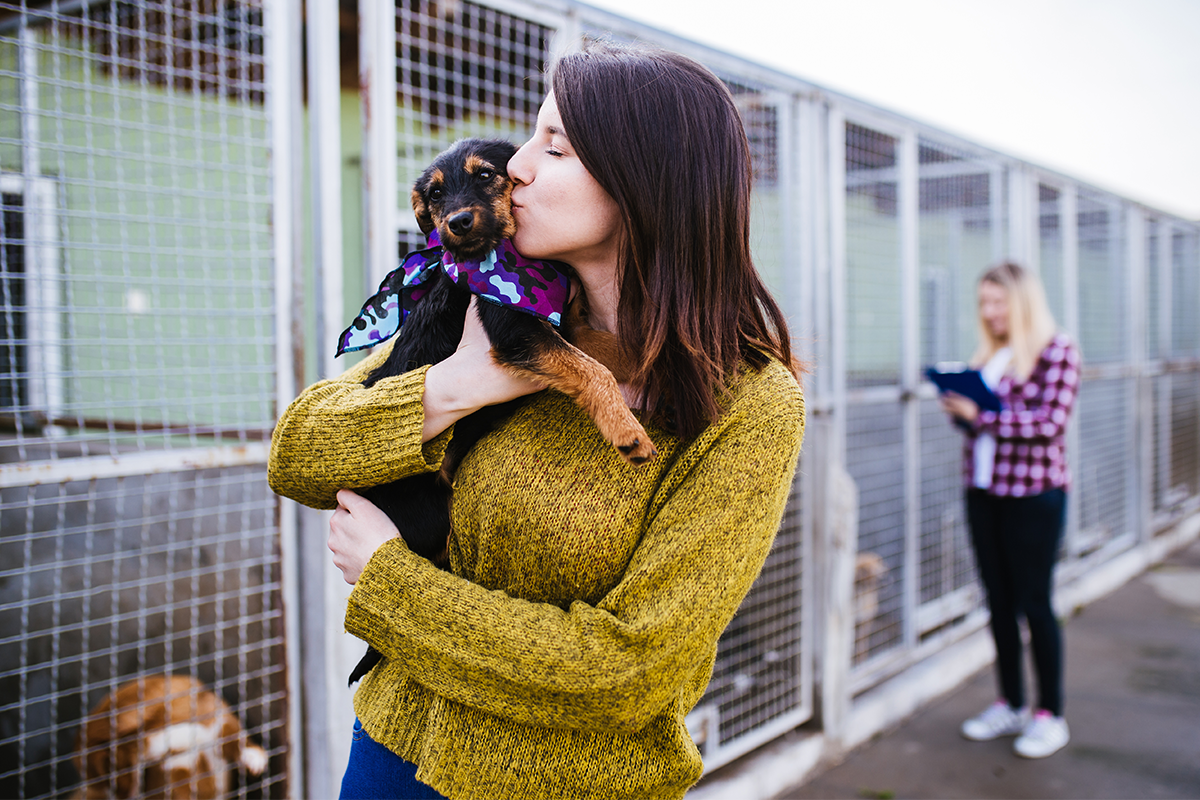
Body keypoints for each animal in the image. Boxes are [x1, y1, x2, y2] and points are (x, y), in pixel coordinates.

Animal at [338, 136, 657, 681]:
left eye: (486, 175)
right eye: (435, 195)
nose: (457, 222)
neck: (507, 258)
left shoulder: (561, 321)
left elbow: (607, 348)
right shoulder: (516, 330)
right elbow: (592, 367)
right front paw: (627, 430)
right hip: (429, 514)